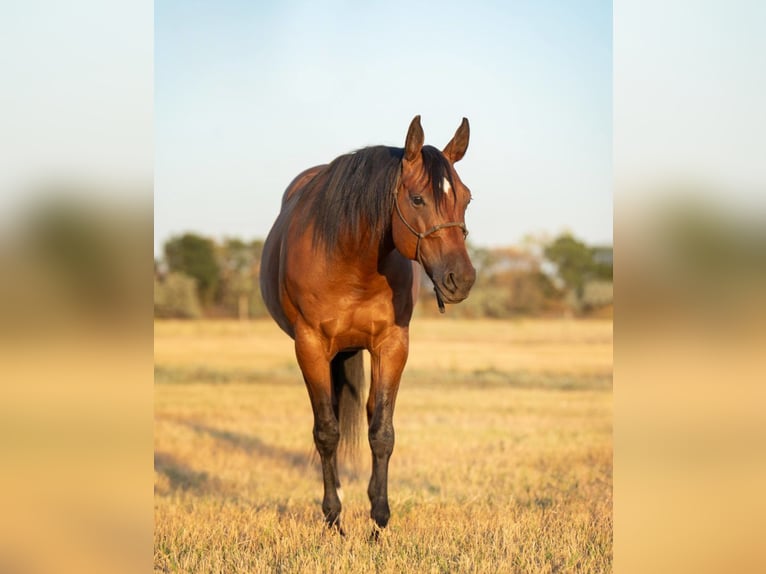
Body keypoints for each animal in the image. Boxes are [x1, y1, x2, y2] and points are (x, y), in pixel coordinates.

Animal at [259, 115, 476, 535]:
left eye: (466, 198)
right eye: (417, 199)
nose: (461, 278)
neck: (350, 258)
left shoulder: (392, 345)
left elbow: (382, 432)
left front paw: (379, 518)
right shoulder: (309, 345)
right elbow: (327, 432)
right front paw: (333, 519)